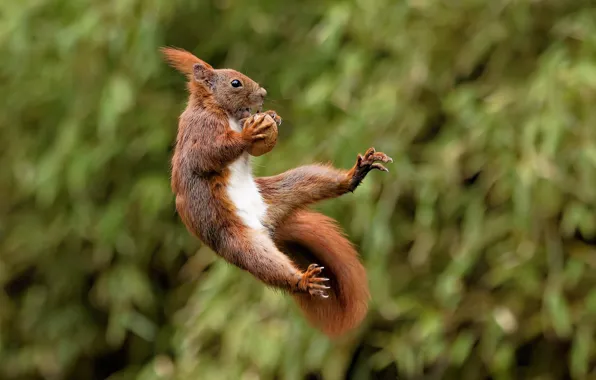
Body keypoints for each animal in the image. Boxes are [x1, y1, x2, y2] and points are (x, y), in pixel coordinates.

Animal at [161, 46, 394, 336]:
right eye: (235, 83)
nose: (262, 93)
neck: (220, 110)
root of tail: (267, 224)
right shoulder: (200, 132)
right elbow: (208, 155)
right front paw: (249, 135)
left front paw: (272, 116)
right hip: (236, 241)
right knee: (266, 265)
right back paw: (302, 281)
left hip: (289, 186)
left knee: (317, 182)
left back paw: (353, 176)